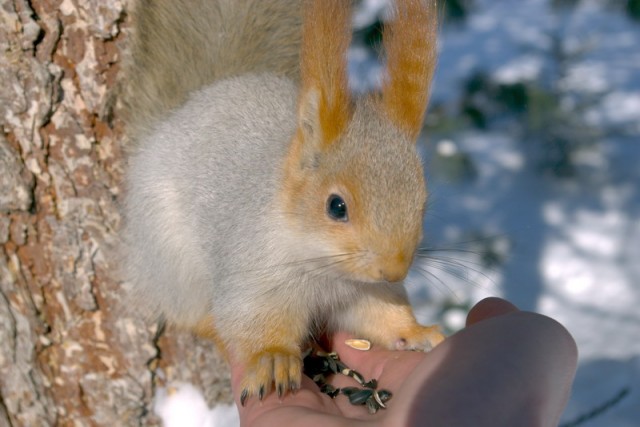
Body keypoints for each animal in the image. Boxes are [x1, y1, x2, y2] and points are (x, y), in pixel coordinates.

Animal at [124, 0, 444, 404]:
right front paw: (273, 357)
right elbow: (248, 319)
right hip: (172, 262)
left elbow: (381, 316)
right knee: (193, 316)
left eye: (423, 203)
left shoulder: (366, 291)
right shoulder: (253, 273)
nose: (394, 271)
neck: (325, 269)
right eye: (336, 206)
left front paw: (416, 332)